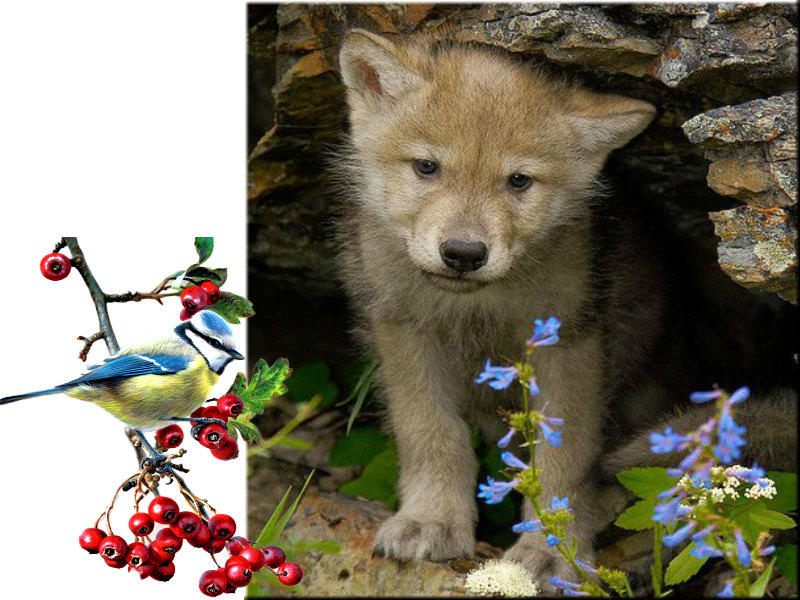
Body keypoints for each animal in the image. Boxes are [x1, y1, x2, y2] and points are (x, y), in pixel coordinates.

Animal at [333, 29, 797, 583]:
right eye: (427, 167)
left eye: (518, 181)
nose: (464, 254)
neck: (478, 307)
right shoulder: (403, 327)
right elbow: (432, 433)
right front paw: (431, 521)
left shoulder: (570, 342)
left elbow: (565, 458)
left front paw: (555, 550)